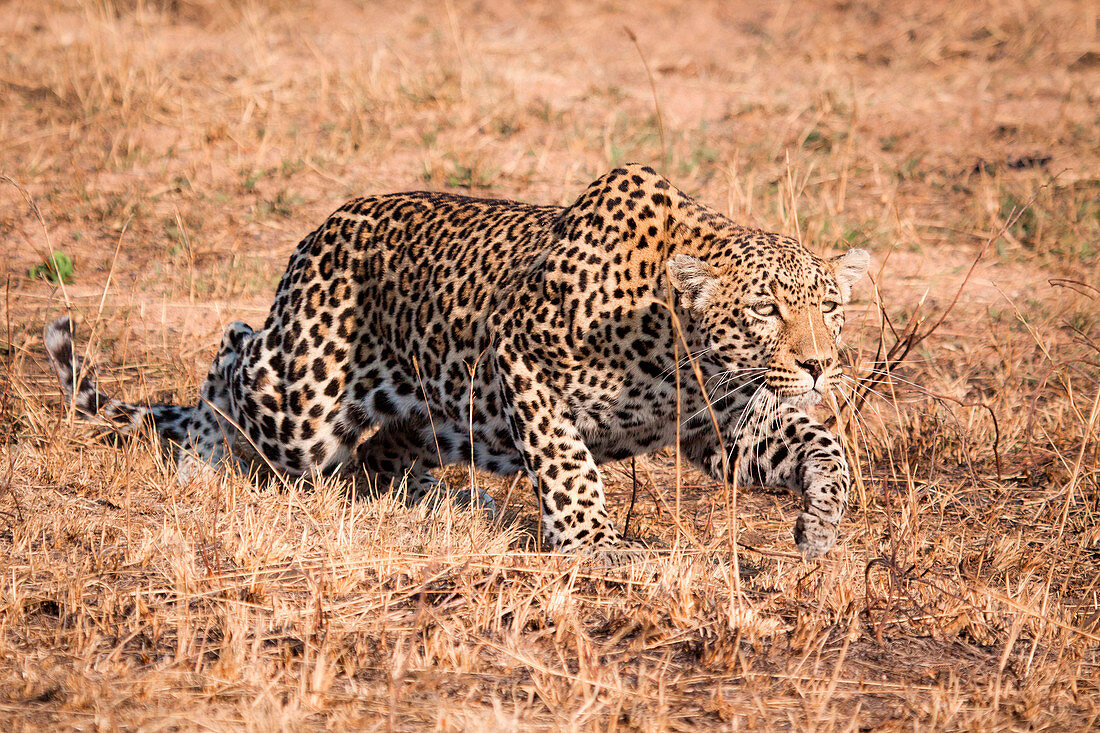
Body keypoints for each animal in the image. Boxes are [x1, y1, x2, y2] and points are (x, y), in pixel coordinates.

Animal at [40, 162, 866, 556]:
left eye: (829, 306)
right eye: (766, 309)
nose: (822, 364)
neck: (677, 342)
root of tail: (314, 237)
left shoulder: (717, 427)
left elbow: (821, 448)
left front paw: (820, 525)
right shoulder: (522, 355)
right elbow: (568, 462)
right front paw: (594, 545)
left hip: (446, 416)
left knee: (380, 453)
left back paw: (444, 501)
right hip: (303, 401)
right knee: (233, 349)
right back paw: (203, 457)